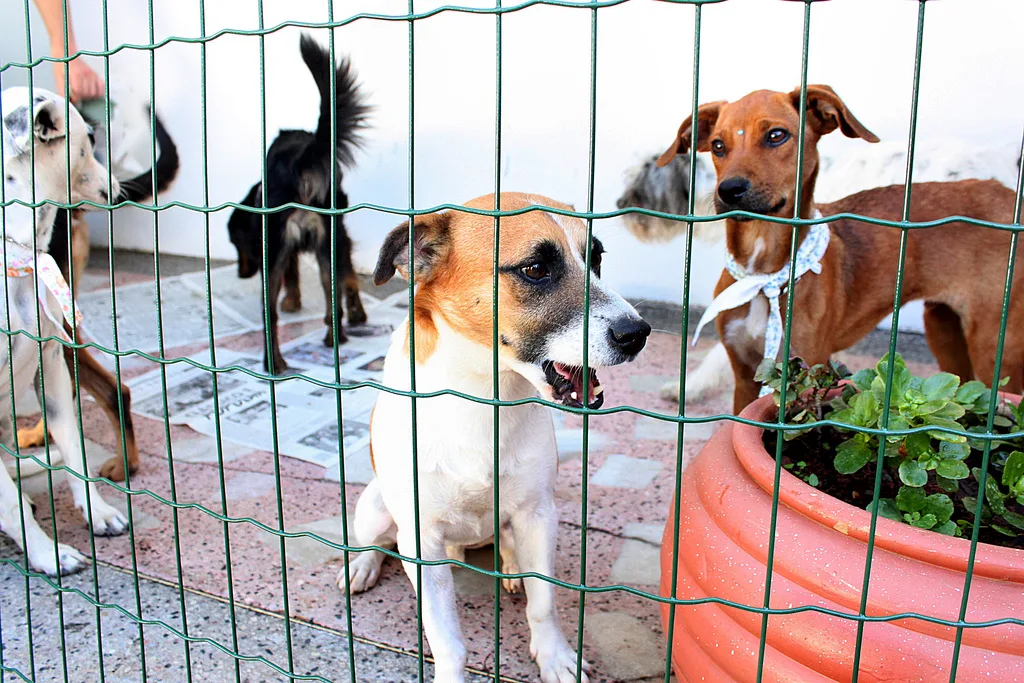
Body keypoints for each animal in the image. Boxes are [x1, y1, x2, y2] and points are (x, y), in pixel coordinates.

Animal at [1, 85, 129, 577]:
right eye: (89, 138)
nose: (121, 192)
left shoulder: (52, 364)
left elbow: (74, 448)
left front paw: (99, 512)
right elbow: (9, 503)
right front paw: (47, 554)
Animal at [227, 33, 368, 374]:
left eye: (236, 245)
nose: (240, 273)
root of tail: (296, 161)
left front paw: (292, 302)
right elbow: (349, 277)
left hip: (286, 249)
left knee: (272, 314)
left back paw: (275, 362)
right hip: (328, 242)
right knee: (332, 301)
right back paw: (333, 339)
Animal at [339, 193, 651, 683]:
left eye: (597, 257)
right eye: (536, 269)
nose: (637, 333)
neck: (483, 396)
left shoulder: (537, 516)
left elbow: (544, 602)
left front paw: (555, 656)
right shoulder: (422, 543)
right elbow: (447, 640)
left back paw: (511, 569)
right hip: (374, 506)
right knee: (376, 541)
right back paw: (361, 567)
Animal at [659, 88, 1019, 413]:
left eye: (776, 135)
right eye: (718, 145)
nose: (728, 190)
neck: (764, 274)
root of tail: (1007, 193)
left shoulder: (801, 375)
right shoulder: (745, 374)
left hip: (996, 347)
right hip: (944, 328)